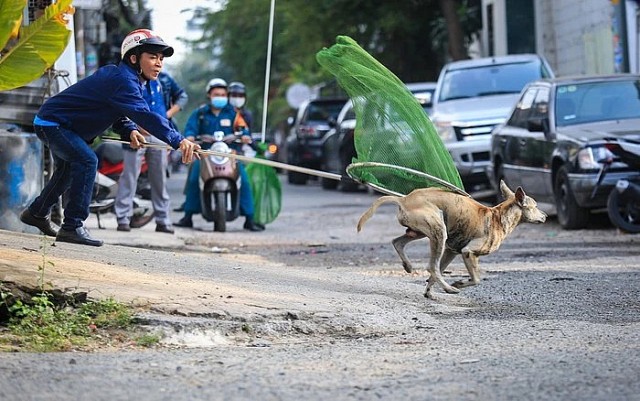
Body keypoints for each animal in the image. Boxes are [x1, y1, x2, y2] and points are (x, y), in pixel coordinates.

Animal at [356, 181, 544, 296]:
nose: (546, 216)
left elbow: (437, 273)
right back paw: (449, 288)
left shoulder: (451, 251)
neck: (498, 216)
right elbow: (476, 279)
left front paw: (428, 291)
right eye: (535, 206)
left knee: (398, 243)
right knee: (431, 266)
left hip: (421, 233)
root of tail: (404, 199)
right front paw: (458, 284)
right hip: (438, 230)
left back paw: (408, 266)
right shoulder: (468, 252)